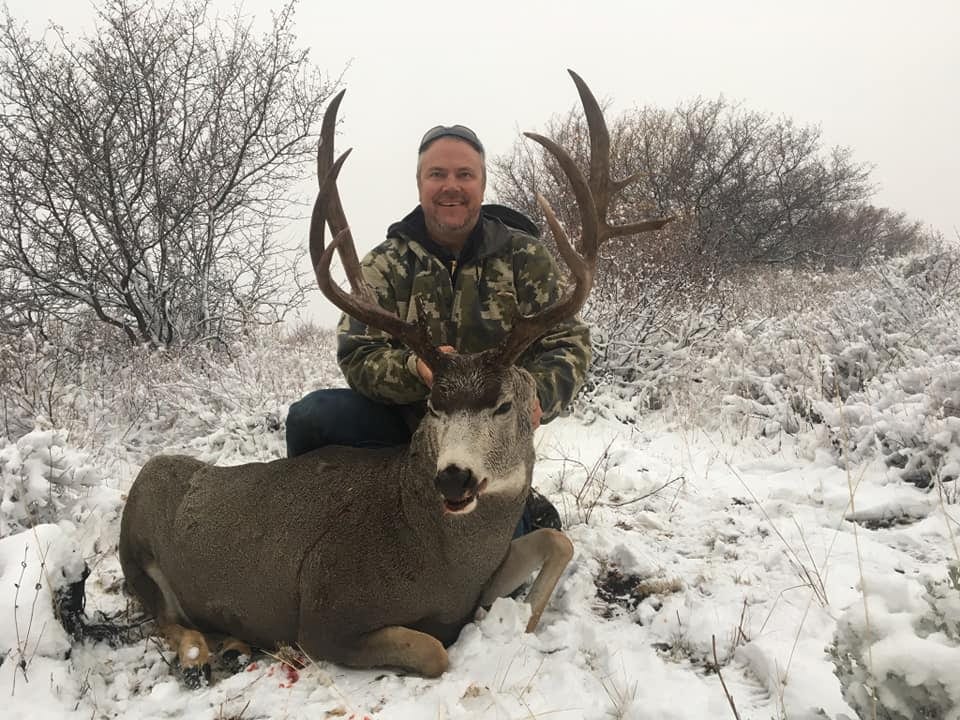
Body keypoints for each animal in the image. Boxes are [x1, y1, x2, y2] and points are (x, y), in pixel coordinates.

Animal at [117, 69, 670, 685]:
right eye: (432, 404)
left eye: (504, 404)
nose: (453, 479)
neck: (438, 554)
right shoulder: (323, 612)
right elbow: (434, 650)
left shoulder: (471, 590)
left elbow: (556, 540)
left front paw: (522, 627)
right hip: (136, 551)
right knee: (164, 617)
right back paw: (205, 648)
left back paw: (231, 641)